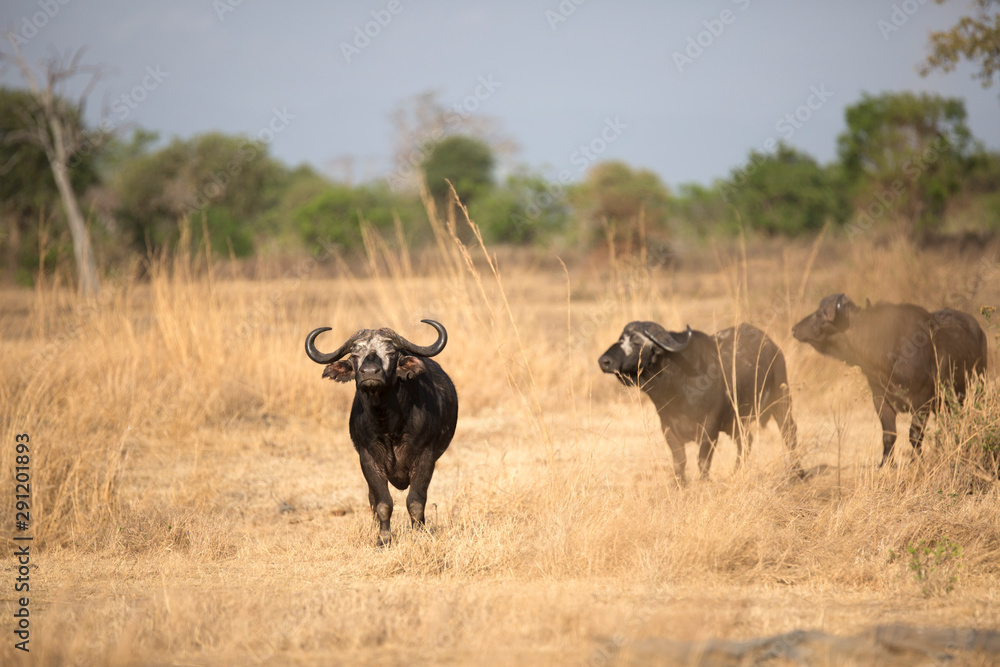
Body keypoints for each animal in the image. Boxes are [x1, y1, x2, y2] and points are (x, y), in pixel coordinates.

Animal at [305, 319, 458, 546]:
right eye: (354, 354)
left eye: (391, 352)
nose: (370, 372)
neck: (388, 424)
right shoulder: (368, 459)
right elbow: (383, 503)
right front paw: (383, 539)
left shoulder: (425, 457)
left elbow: (415, 502)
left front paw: (419, 535)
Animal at [598, 321, 799, 483]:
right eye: (620, 339)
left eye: (636, 341)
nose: (604, 361)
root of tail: (773, 347)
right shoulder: (668, 427)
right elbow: (679, 461)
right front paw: (680, 485)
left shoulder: (710, 427)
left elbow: (703, 460)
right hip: (737, 422)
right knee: (745, 442)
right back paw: (736, 474)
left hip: (782, 399)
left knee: (789, 432)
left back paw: (797, 472)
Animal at [792, 295, 988, 466]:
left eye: (821, 315)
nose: (795, 329)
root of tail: (978, 330)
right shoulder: (881, 400)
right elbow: (889, 436)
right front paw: (886, 464)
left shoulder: (922, 402)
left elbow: (914, 436)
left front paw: (916, 463)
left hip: (975, 388)